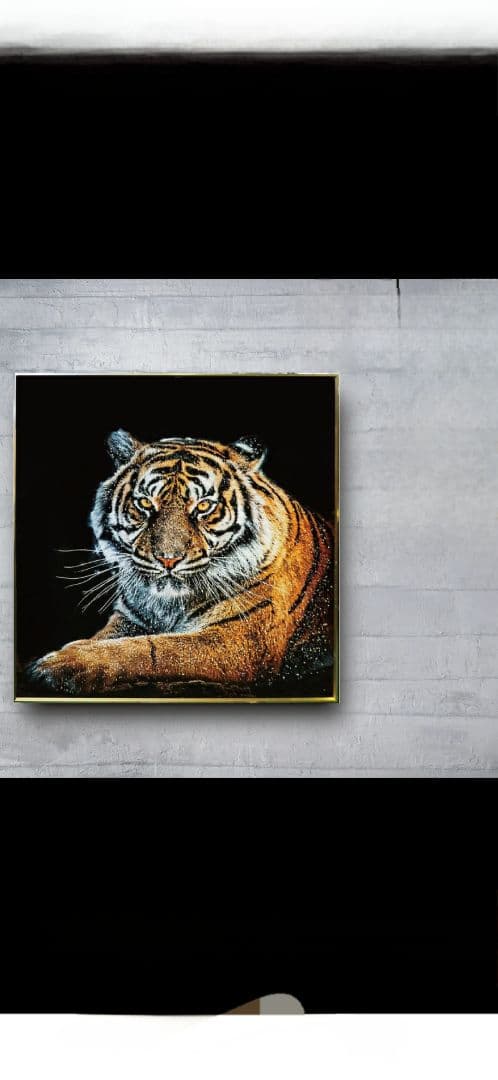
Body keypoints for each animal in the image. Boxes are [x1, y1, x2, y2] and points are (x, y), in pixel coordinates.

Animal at [27, 431, 334, 697]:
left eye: (203, 506)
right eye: (144, 503)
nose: (168, 559)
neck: (168, 604)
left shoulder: (240, 639)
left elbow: (152, 650)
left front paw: (59, 665)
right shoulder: (129, 618)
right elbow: (105, 637)